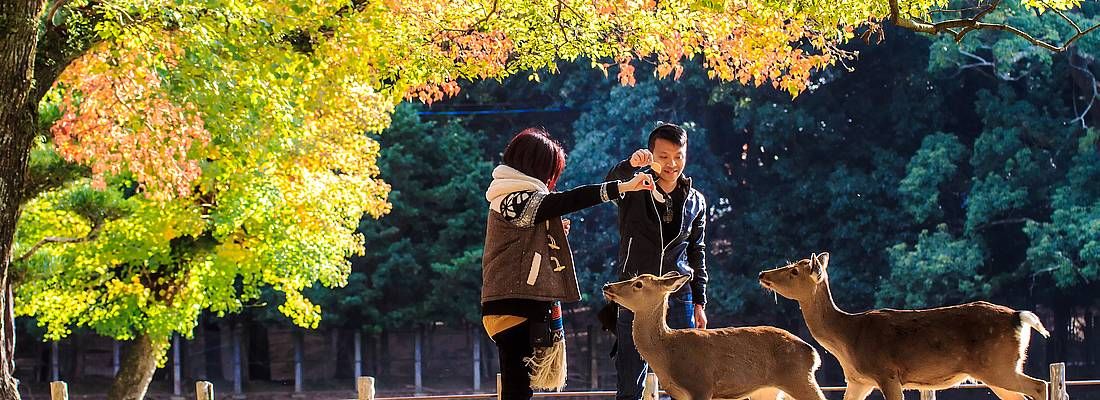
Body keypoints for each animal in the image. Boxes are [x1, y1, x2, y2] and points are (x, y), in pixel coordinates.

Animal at [602, 271, 827, 400]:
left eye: (638, 284)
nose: (607, 286)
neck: (667, 353)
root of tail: (813, 354)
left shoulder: (701, 385)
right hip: (767, 390)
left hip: (798, 378)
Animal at [756, 252, 1047, 400]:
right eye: (790, 264)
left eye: (794, 271)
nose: (762, 274)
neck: (847, 339)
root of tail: (1018, 317)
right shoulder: (858, 380)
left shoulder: (886, 373)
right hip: (998, 369)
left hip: (997, 366)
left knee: (1040, 385)